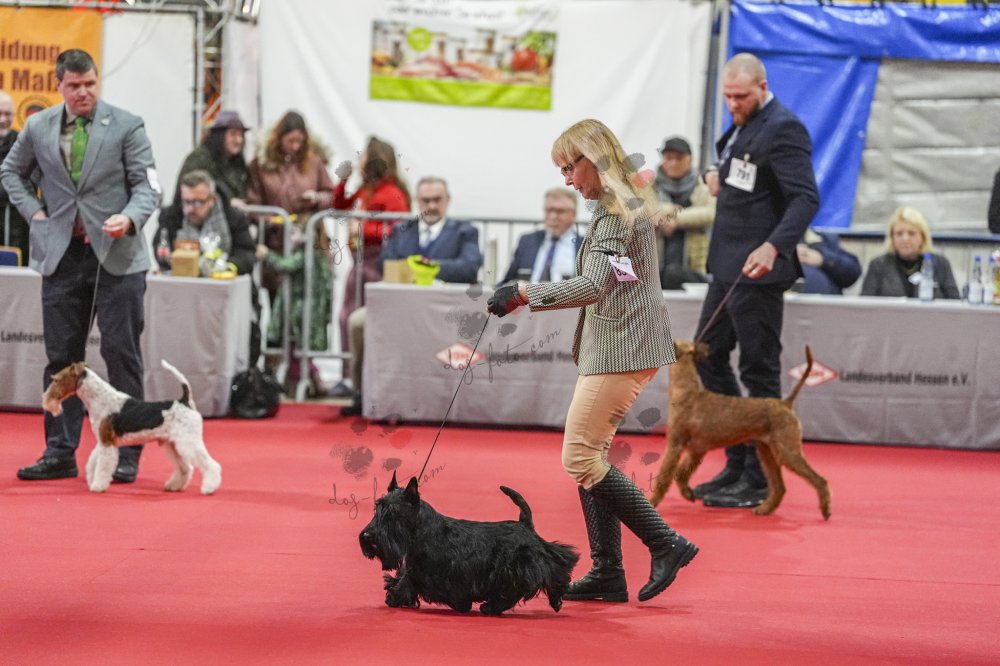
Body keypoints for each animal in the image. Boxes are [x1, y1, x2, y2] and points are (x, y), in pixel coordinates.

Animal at [42, 360, 222, 495]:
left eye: (57, 379)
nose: (45, 400)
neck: (99, 398)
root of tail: (184, 401)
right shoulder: (101, 441)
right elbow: (93, 462)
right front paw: (92, 479)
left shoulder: (107, 443)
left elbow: (103, 466)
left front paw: (97, 486)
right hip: (172, 444)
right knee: (185, 467)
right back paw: (174, 486)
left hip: (188, 442)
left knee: (211, 464)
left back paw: (209, 488)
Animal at [359, 472, 579, 615]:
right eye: (377, 507)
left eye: (393, 514)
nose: (368, 536)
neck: (422, 531)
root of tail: (525, 524)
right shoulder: (414, 568)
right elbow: (405, 580)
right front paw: (395, 597)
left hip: (516, 568)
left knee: (531, 582)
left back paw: (492, 607)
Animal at [648, 341, 831, 519]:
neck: (687, 392)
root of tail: (785, 403)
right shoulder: (697, 449)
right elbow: (681, 473)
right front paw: (688, 493)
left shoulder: (675, 445)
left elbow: (664, 477)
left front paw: (653, 501)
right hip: (766, 451)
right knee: (779, 487)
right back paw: (765, 509)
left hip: (787, 451)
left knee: (819, 480)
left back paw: (825, 510)